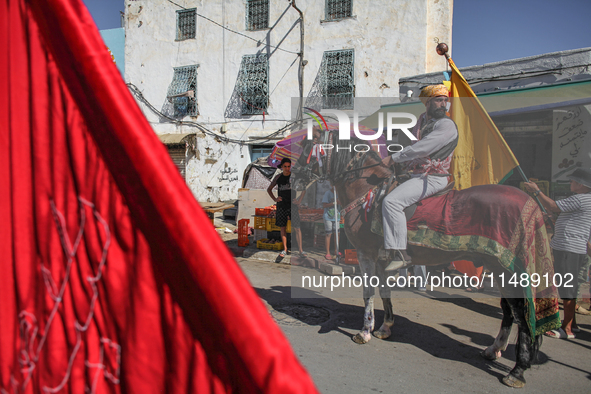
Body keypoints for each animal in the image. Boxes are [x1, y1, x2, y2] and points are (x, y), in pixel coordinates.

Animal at [294, 132, 560, 388]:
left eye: (308, 149)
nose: (294, 178)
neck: (365, 189)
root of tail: (530, 204)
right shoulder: (382, 258)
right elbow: (385, 291)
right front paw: (385, 328)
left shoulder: (365, 252)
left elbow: (368, 292)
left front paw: (365, 332)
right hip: (499, 268)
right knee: (509, 311)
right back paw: (494, 349)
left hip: (508, 270)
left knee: (522, 316)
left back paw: (517, 371)